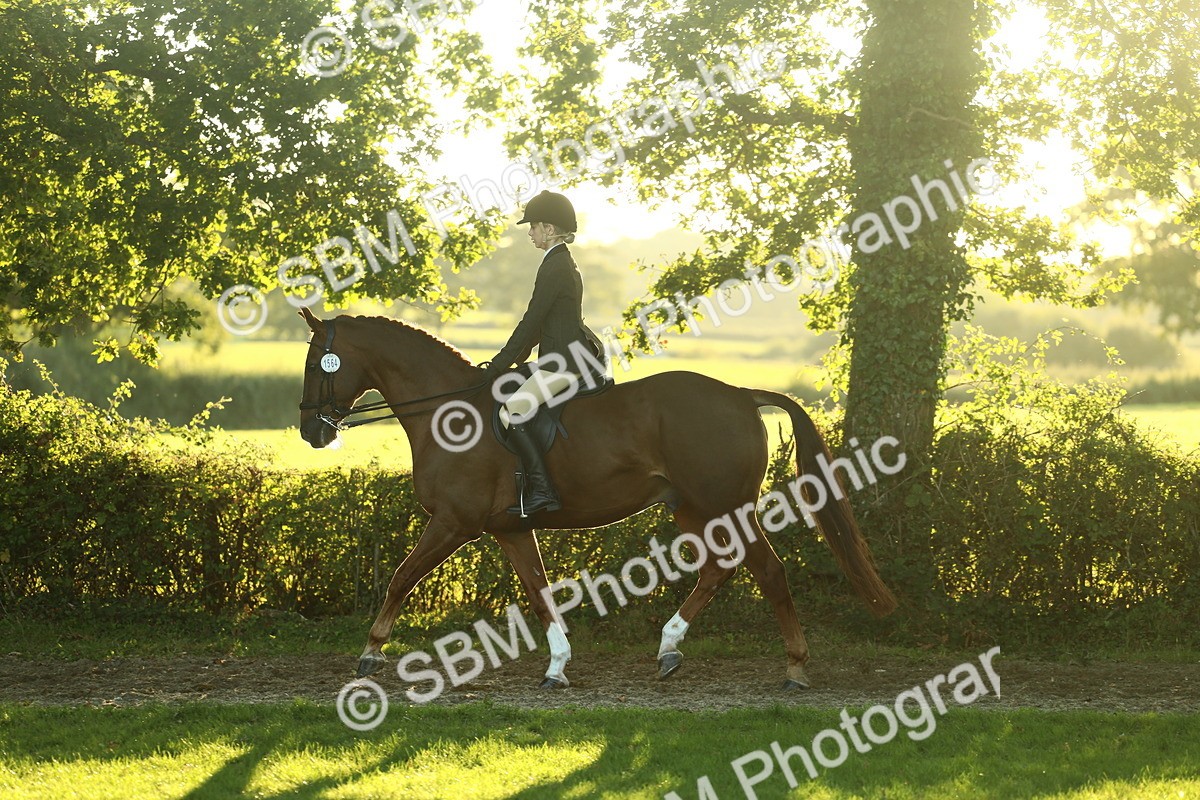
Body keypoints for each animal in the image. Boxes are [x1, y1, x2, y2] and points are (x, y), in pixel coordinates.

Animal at [297, 307, 897, 691]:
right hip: (691, 507)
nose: (311, 433)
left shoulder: (454, 522)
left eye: (315, 364)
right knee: (721, 567)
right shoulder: (510, 529)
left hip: (725, 505)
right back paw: (669, 649)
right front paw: (557, 667)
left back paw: (794, 669)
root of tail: (739, 394)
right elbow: (539, 593)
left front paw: (370, 653)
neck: (449, 414)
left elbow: (401, 577)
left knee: (768, 572)